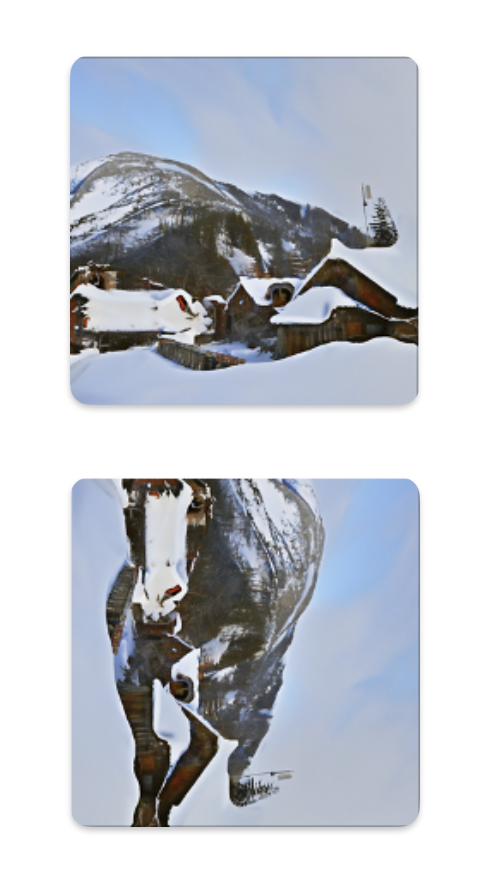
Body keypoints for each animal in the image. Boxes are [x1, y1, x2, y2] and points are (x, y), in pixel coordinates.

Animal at [106, 478, 325, 825]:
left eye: (197, 503)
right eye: (131, 505)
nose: (157, 601)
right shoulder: (128, 666)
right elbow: (151, 755)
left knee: (245, 724)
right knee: (206, 740)